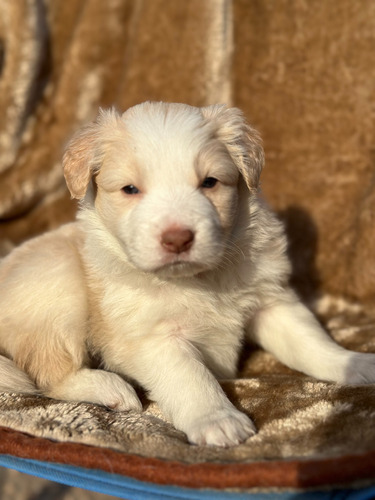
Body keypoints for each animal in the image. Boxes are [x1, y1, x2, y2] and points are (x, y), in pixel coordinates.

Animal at [0, 103, 375, 448]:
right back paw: (111, 388)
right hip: (61, 286)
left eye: (209, 182)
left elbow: (311, 342)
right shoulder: (151, 337)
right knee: (47, 376)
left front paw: (353, 363)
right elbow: (191, 376)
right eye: (130, 189)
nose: (177, 238)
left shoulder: (272, 302)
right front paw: (220, 420)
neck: (199, 279)